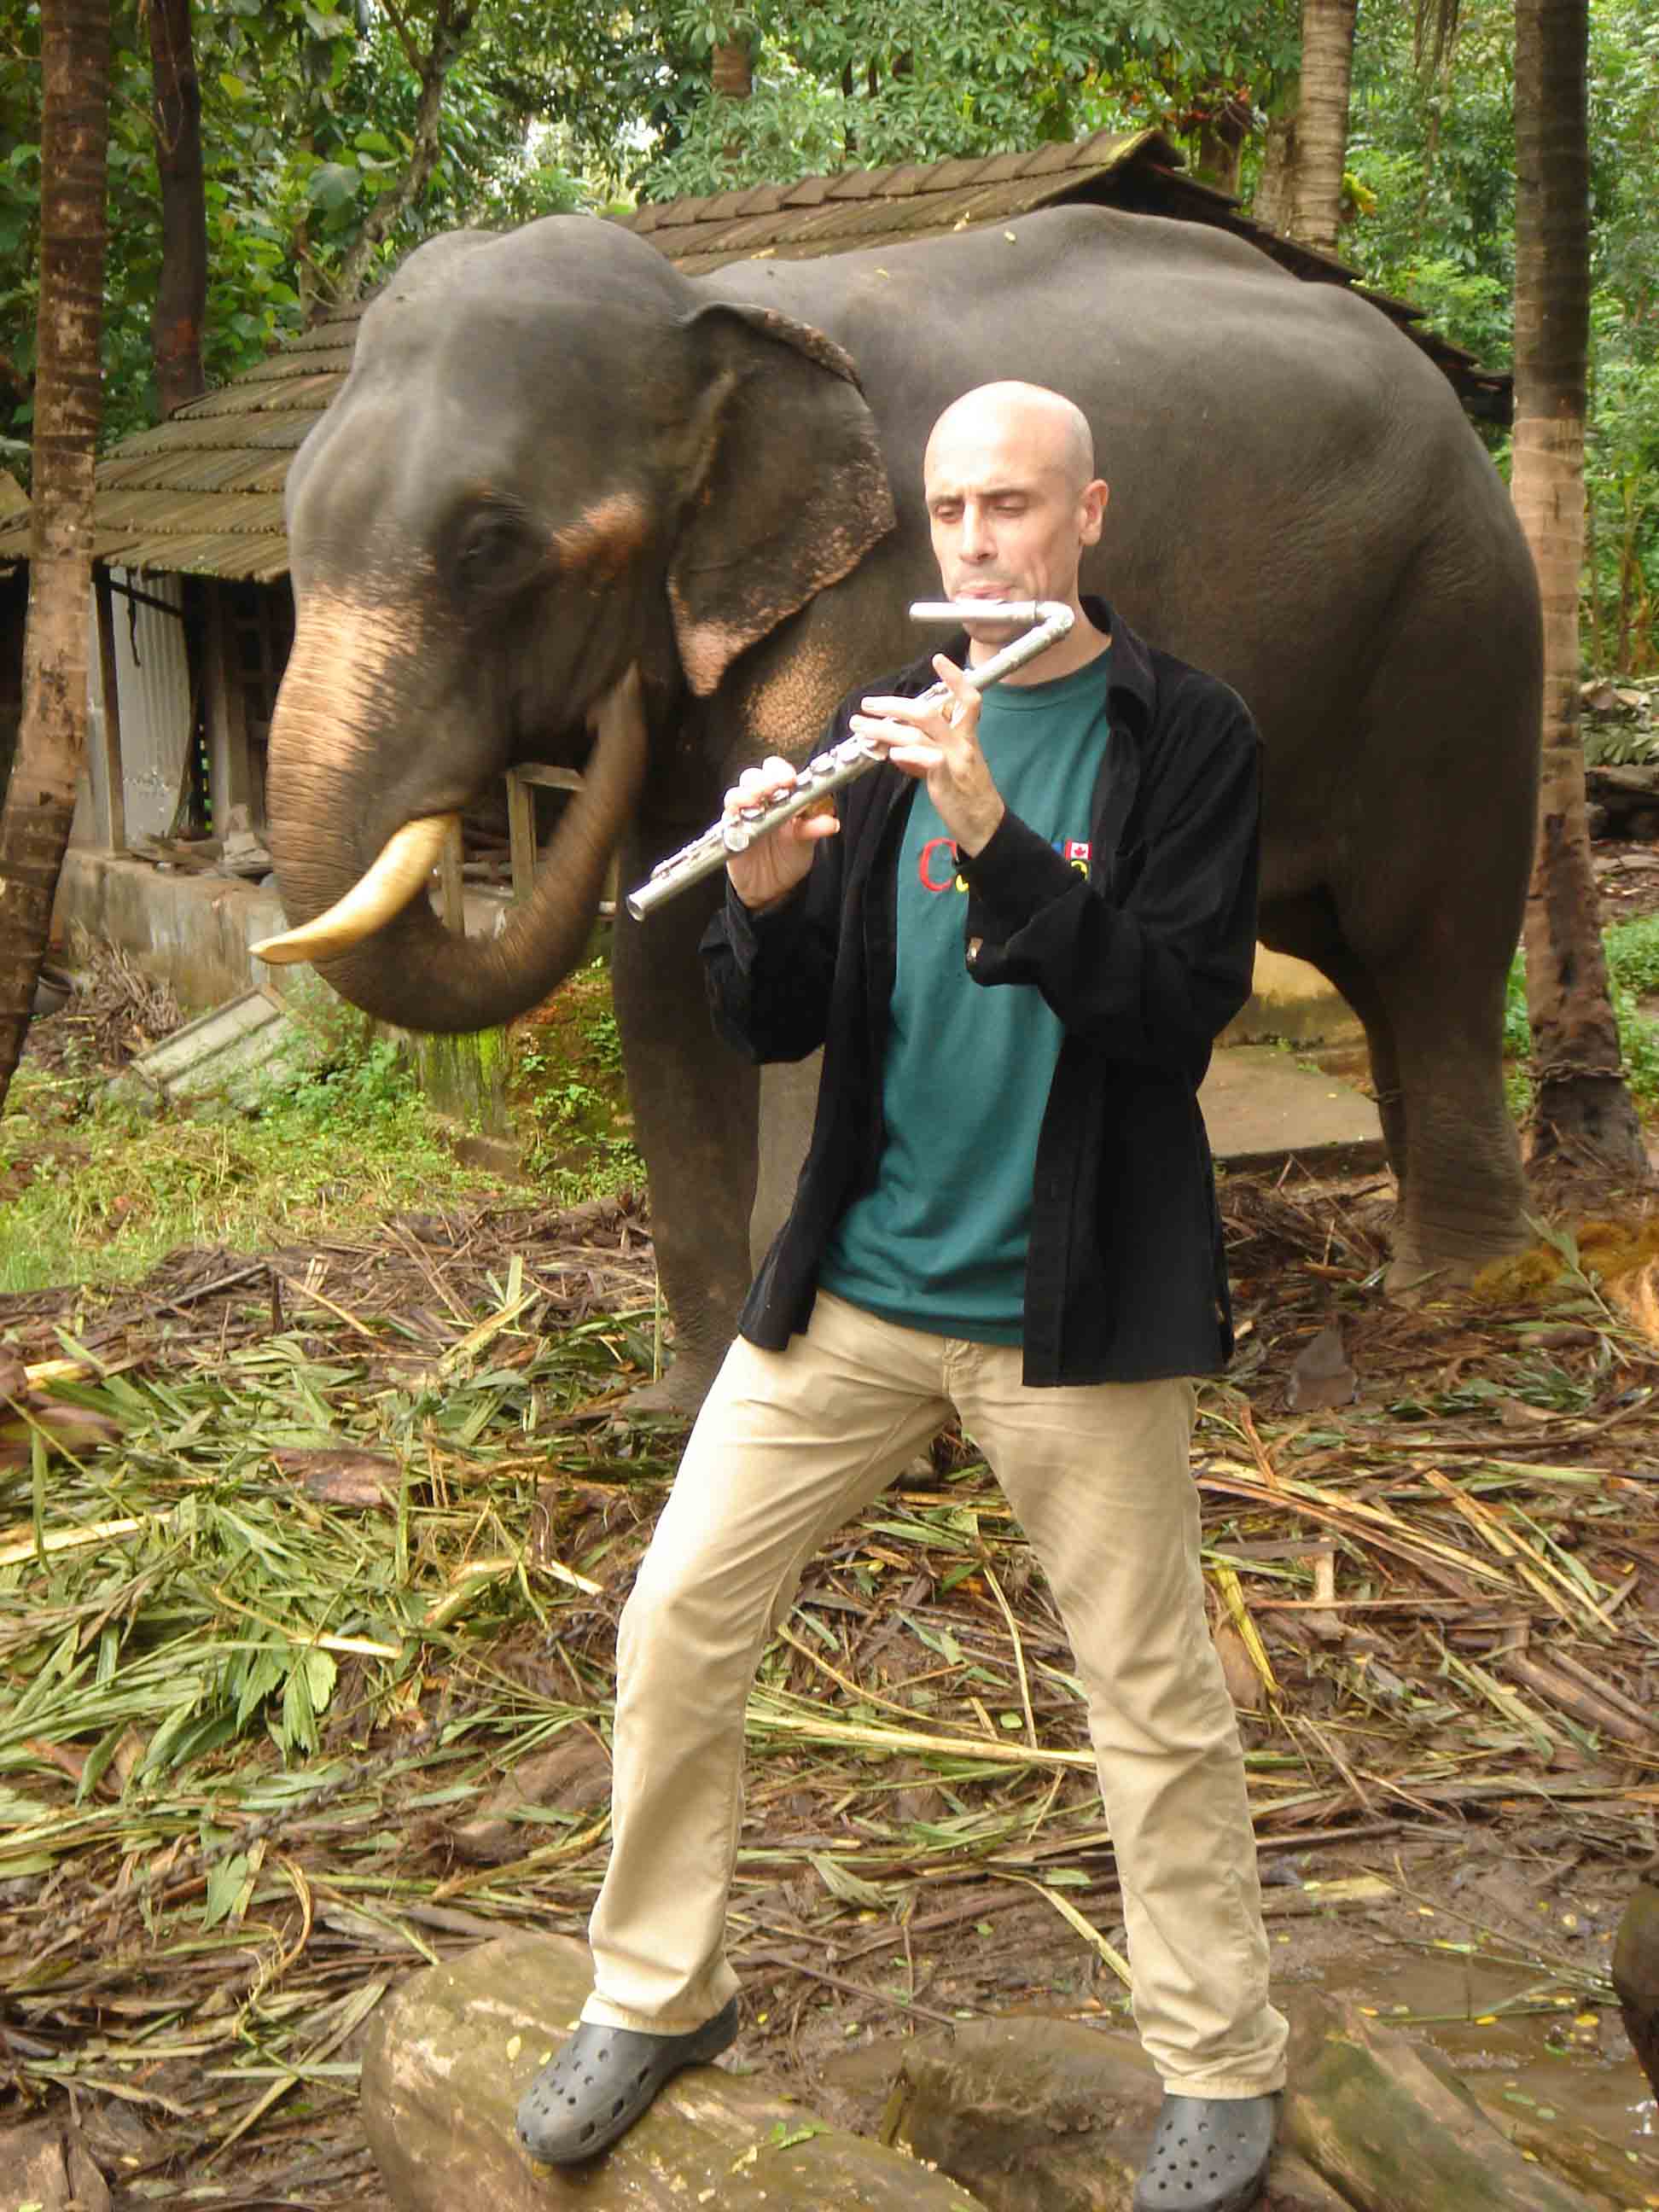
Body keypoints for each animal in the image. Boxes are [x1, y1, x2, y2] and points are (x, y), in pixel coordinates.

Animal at [259, 207, 1548, 1415]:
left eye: (491, 545)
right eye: (291, 515)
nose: (609, 697)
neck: (706, 312)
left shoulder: (866, 607)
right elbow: (664, 978)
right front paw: (676, 1410)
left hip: (1459, 634)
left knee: (1429, 939)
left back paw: (1452, 1284)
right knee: (1359, 960)